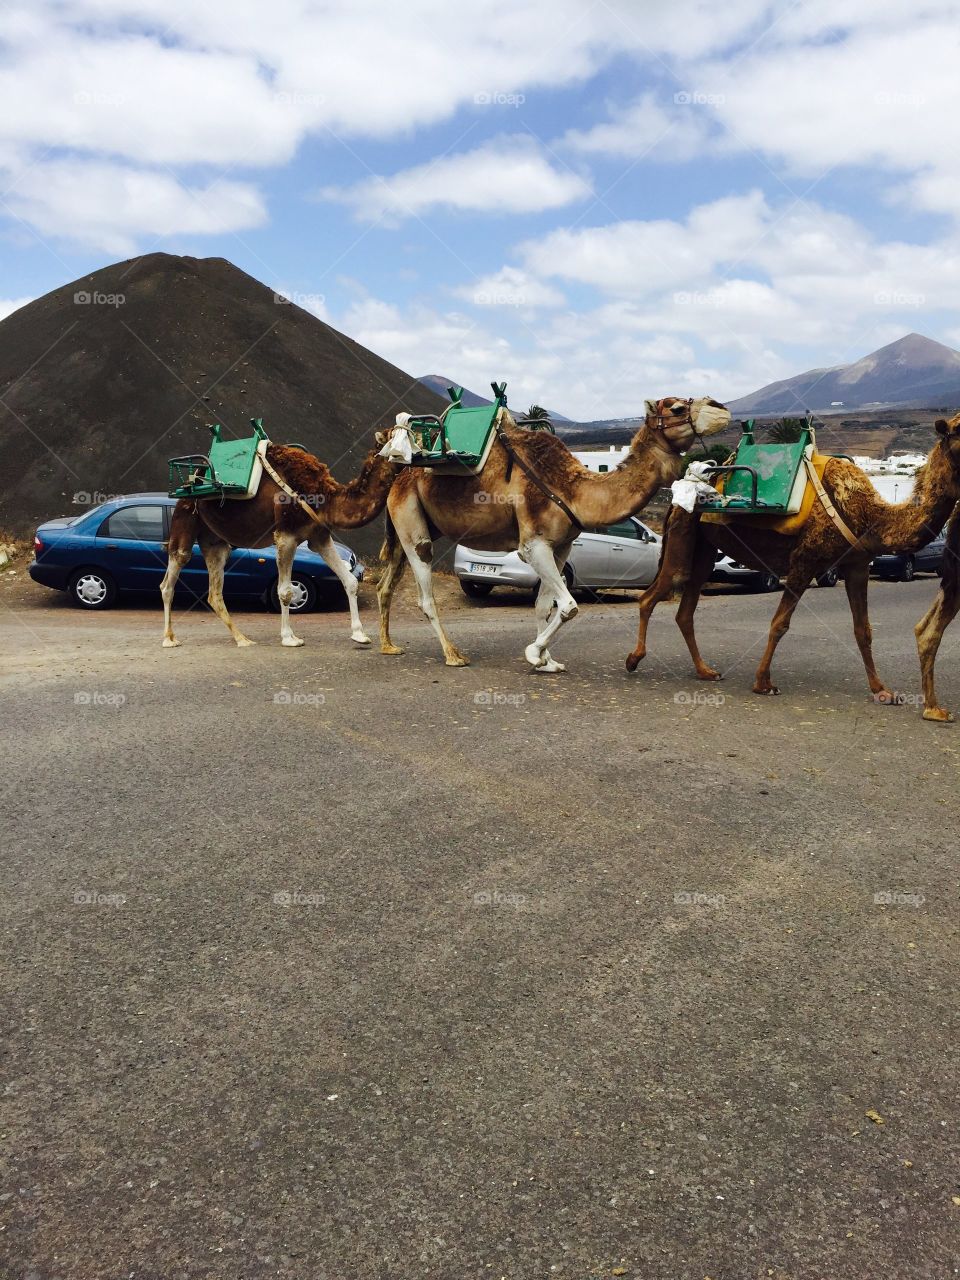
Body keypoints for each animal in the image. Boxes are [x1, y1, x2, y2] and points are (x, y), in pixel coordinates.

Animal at [160, 439, 396, 648]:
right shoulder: (286, 535)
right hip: (185, 518)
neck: (325, 497)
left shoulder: (319, 537)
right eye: (397, 434)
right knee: (171, 576)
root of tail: (189, 484)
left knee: (215, 592)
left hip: (215, 542)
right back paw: (169, 639)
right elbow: (285, 591)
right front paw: (289, 638)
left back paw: (243, 639)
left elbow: (350, 581)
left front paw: (360, 635)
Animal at [377, 396, 731, 670]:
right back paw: (453, 655)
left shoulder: (561, 547)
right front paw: (534, 654)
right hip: (413, 524)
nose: (721, 407)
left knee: (386, 585)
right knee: (425, 596)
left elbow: (544, 605)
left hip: (416, 525)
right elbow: (570, 606)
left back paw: (388, 645)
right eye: (676, 407)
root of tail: (398, 478)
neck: (573, 489)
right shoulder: (533, 545)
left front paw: (547, 661)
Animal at [625, 415, 960, 707]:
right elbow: (780, 623)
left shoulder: (857, 564)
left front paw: (882, 691)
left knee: (685, 609)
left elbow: (863, 629)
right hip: (684, 533)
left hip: (705, 549)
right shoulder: (804, 561)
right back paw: (634, 659)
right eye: (958, 430)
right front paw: (763, 683)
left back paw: (705, 670)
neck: (868, 515)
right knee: (653, 595)